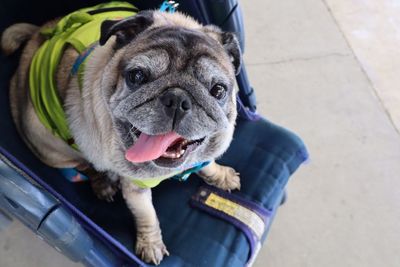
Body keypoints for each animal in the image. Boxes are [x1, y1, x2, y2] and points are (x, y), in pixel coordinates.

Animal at [0, 7, 241, 264]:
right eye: (136, 76)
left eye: (218, 90)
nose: (177, 99)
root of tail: (37, 35)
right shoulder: (135, 187)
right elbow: (147, 214)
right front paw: (151, 243)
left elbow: (207, 163)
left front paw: (220, 175)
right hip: (52, 145)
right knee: (84, 165)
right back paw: (103, 183)